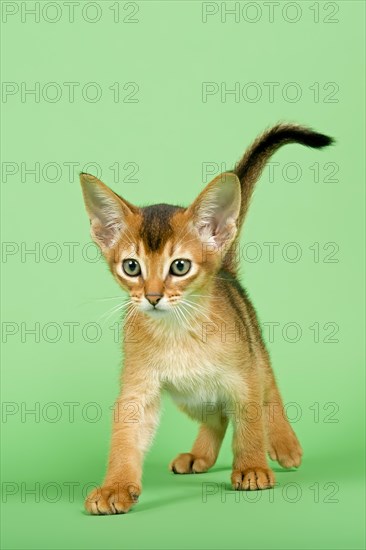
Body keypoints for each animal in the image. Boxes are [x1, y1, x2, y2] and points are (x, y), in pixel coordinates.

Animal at [81, 123, 334, 516]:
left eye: (180, 266)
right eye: (132, 267)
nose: (152, 297)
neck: (179, 332)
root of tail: (225, 269)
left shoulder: (242, 375)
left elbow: (250, 422)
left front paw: (252, 467)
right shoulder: (138, 387)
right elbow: (125, 438)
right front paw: (116, 487)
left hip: (253, 345)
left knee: (268, 388)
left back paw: (283, 443)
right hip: (191, 395)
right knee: (217, 416)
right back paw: (199, 455)